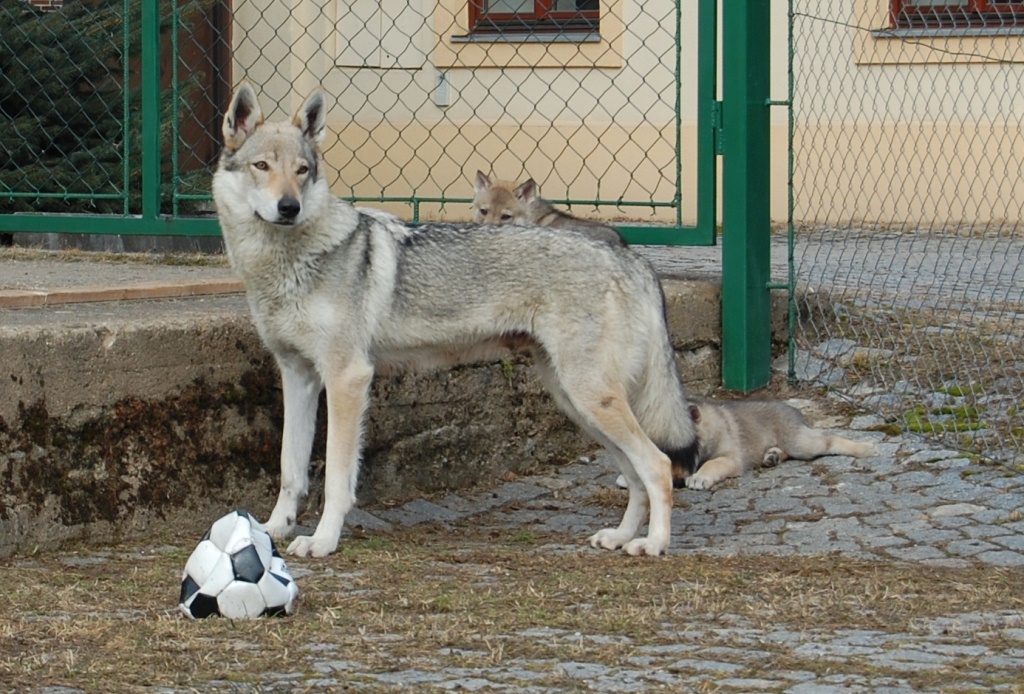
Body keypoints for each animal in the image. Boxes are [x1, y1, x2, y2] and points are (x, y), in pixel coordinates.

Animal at [212, 84, 700, 560]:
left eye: (302, 170)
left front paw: (323, 541)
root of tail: (631, 258)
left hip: (590, 398)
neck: (285, 263)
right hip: (577, 403)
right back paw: (620, 537)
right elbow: (290, 470)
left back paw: (653, 544)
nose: (288, 207)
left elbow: (335, 478)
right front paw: (272, 529)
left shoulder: (347, 378)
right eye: (261, 166)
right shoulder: (298, 377)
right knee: (636, 474)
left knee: (658, 465)